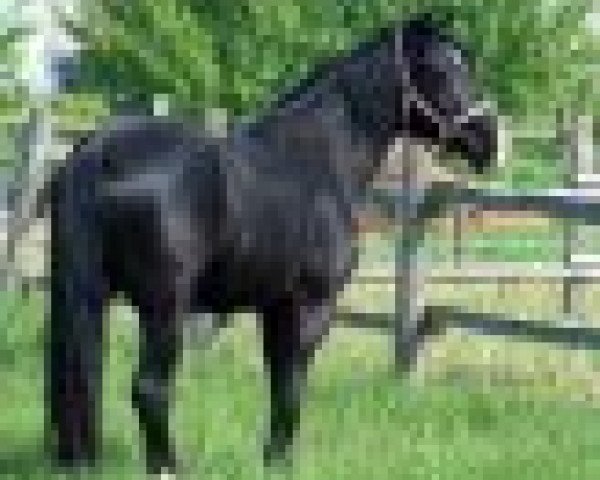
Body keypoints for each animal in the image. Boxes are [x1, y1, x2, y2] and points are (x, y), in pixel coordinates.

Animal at [37, 15, 496, 476]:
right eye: (442, 68)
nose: (489, 139)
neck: (320, 160)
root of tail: (98, 151)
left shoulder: (274, 307)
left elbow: (278, 382)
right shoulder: (311, 305)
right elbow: (292, 386)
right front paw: (281, 462)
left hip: (91, 295)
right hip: (164, 307)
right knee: (149, 387)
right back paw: (169, 466)